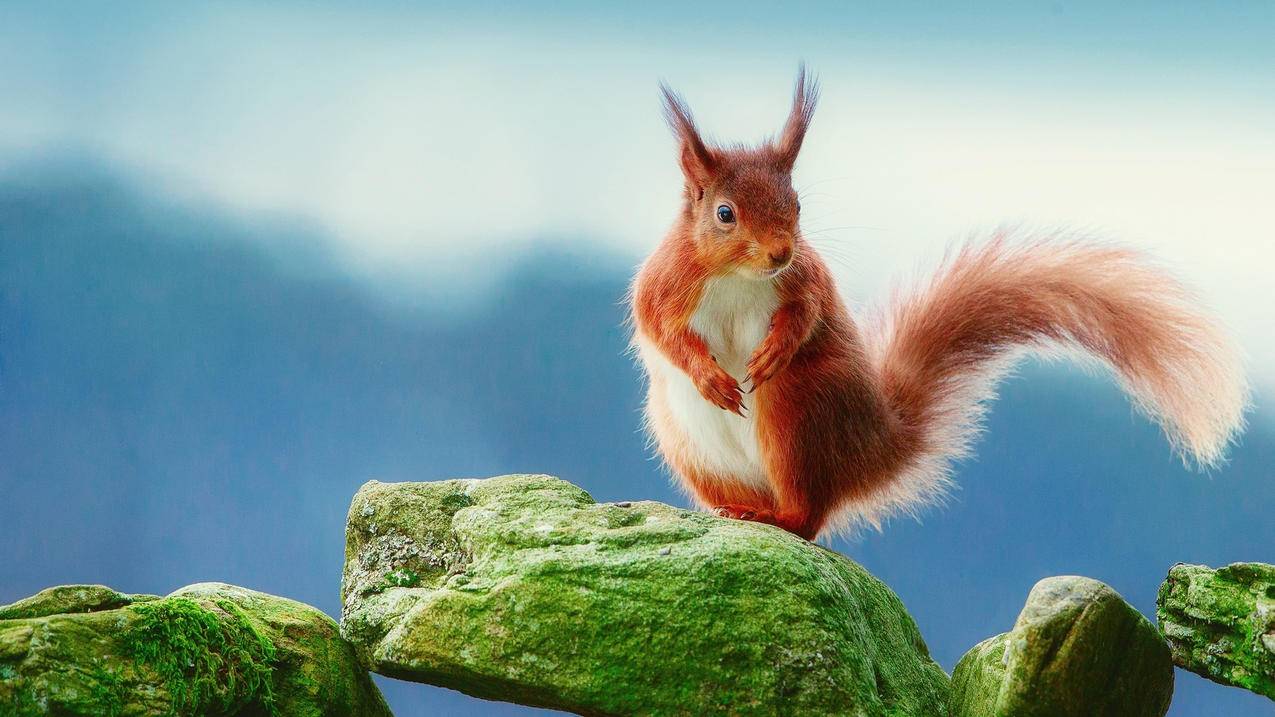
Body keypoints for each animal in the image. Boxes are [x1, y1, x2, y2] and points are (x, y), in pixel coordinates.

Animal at [632, 66, 1249, 538]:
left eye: (797, 204)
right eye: (725, 213)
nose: (781, 252)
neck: (738, 275)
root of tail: (874, 447)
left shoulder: (807, 280)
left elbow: (807, 316)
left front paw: (774, 349)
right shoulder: (667, 283)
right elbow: (657, 327)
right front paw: (709, 375)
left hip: (798, 410)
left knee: (809, 517)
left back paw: (777, 516)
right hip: (686, 439)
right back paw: (736, 510)